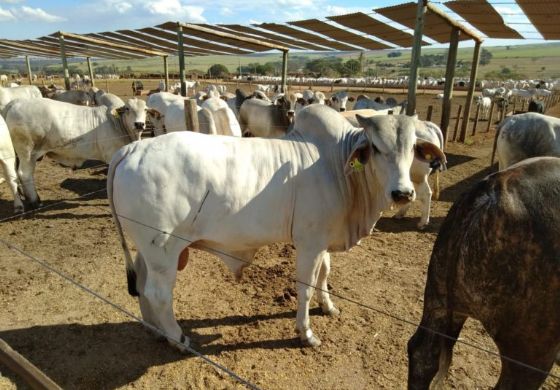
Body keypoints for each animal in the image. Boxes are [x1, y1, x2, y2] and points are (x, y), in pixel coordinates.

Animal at [7, 97, 151, 209]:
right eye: (127, 108)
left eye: (145, 109)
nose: (139, 124)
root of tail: (16, 102)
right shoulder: (111, 155)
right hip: (27, 152)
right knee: (24, 174)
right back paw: (35, 202)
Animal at [107, 104, 444, 350]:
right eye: (375, 147)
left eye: (413, 148)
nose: (402, 193)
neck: (338, 165)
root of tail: (130, 150)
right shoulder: (309, 244)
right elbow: (306, 287)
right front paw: (306, 333)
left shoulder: (322, 239)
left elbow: (325, 274)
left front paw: (328, 306)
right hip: (164, 251)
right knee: (159, 293)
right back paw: (178, 338)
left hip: (149, 250)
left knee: (143, 286)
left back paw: (155, 330)